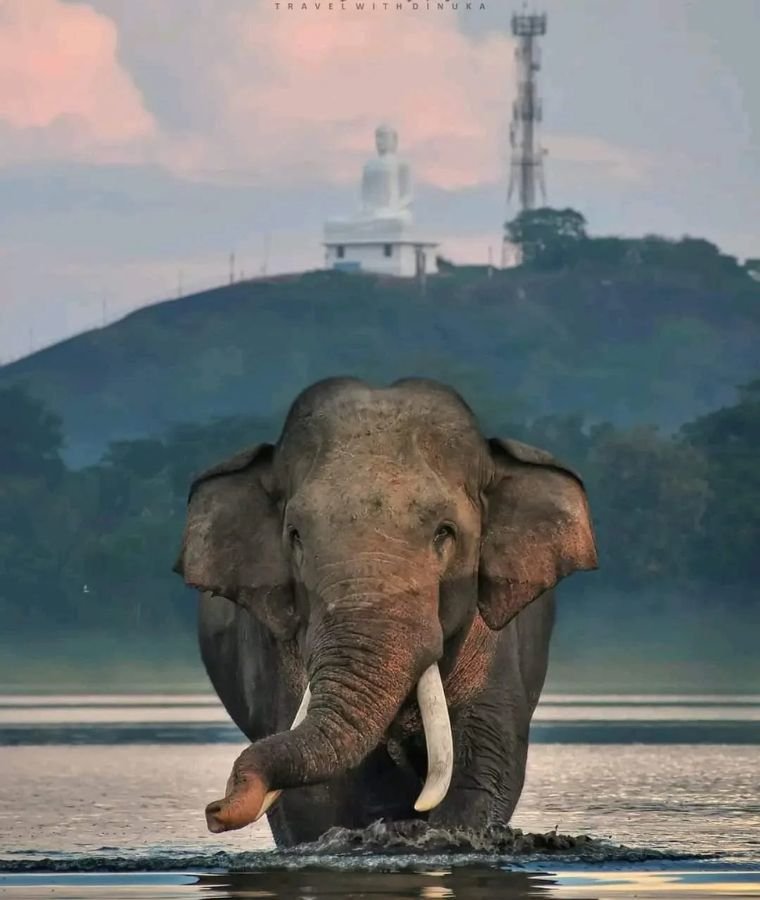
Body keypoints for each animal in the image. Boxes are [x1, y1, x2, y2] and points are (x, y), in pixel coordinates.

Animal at [174, 377, 597, 847]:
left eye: (445, 533)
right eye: (295, 535)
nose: (216, 809)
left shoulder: (496, 642)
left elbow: (488, 759)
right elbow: (318, 797)